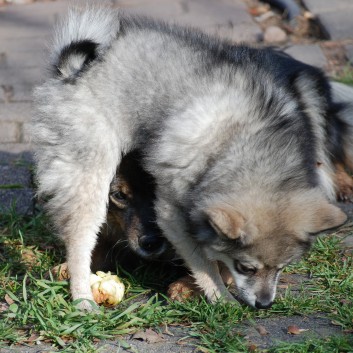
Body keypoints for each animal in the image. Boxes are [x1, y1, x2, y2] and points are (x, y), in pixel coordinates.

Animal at [31, 4, 350, 308]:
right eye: (246, 268)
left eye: (283, 268)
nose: (264, 304)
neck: (235, 143)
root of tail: (72, 69)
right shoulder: (172, 212)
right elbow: (205, 262)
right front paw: (222, 299)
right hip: (91, 176)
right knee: (80, 240)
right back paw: (83, 298)